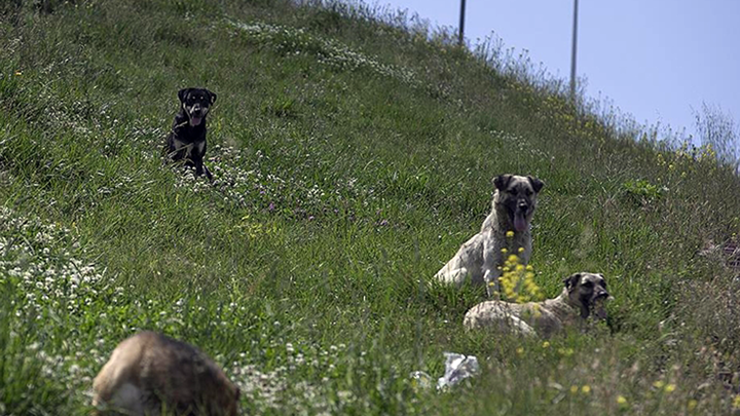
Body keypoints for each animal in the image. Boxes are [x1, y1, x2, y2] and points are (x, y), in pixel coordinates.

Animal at [466, 272, 608, 338]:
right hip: (520, 325)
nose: (604, 294)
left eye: (603, 283)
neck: (568, 303)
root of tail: (470, 319)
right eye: (587, 284)